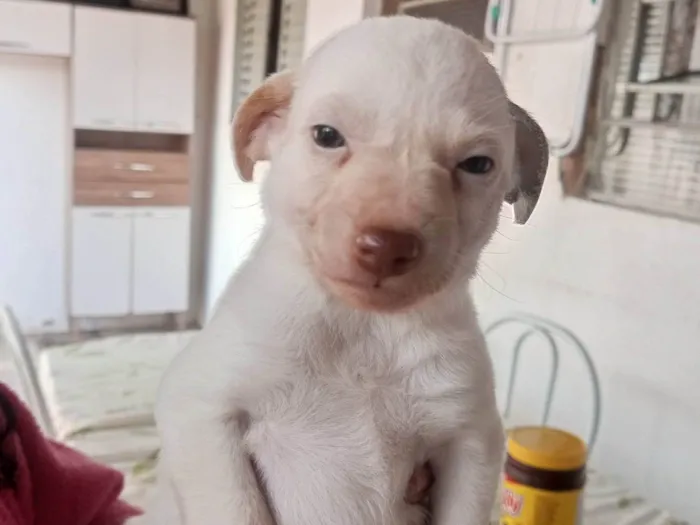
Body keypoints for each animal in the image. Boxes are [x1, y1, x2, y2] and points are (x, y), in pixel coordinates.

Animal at [141, 14, 548, 524]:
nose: (387, 247)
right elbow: (238, 508)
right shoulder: (200, 406)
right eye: (327, 136)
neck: (362, 331)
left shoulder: (471, 441)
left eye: (477, 164)